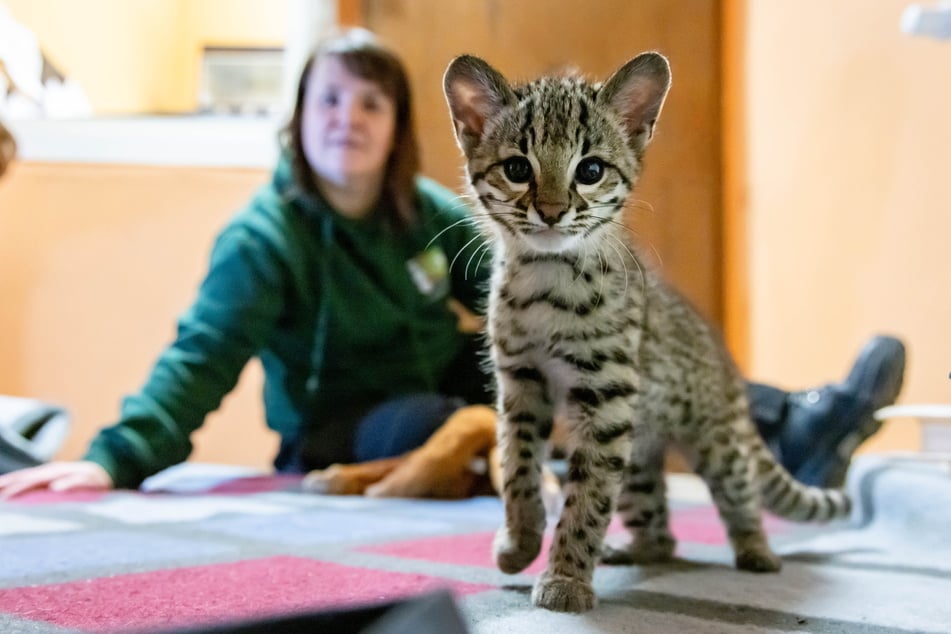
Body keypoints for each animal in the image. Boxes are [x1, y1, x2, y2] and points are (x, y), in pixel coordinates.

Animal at [442, 55, 852, 612]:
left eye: (590, 170)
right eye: (518, 169)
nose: (551, 211)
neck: (548, 276)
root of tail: (727, 364)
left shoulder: (606, 398)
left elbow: (587, 498)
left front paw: (566, 577)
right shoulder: (520, 385)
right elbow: (517, 468)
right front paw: (520, 541)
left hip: (714, 443)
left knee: (741, 494)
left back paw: (757, 551)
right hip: (637, 454)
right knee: (661, 529)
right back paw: (633, 550)